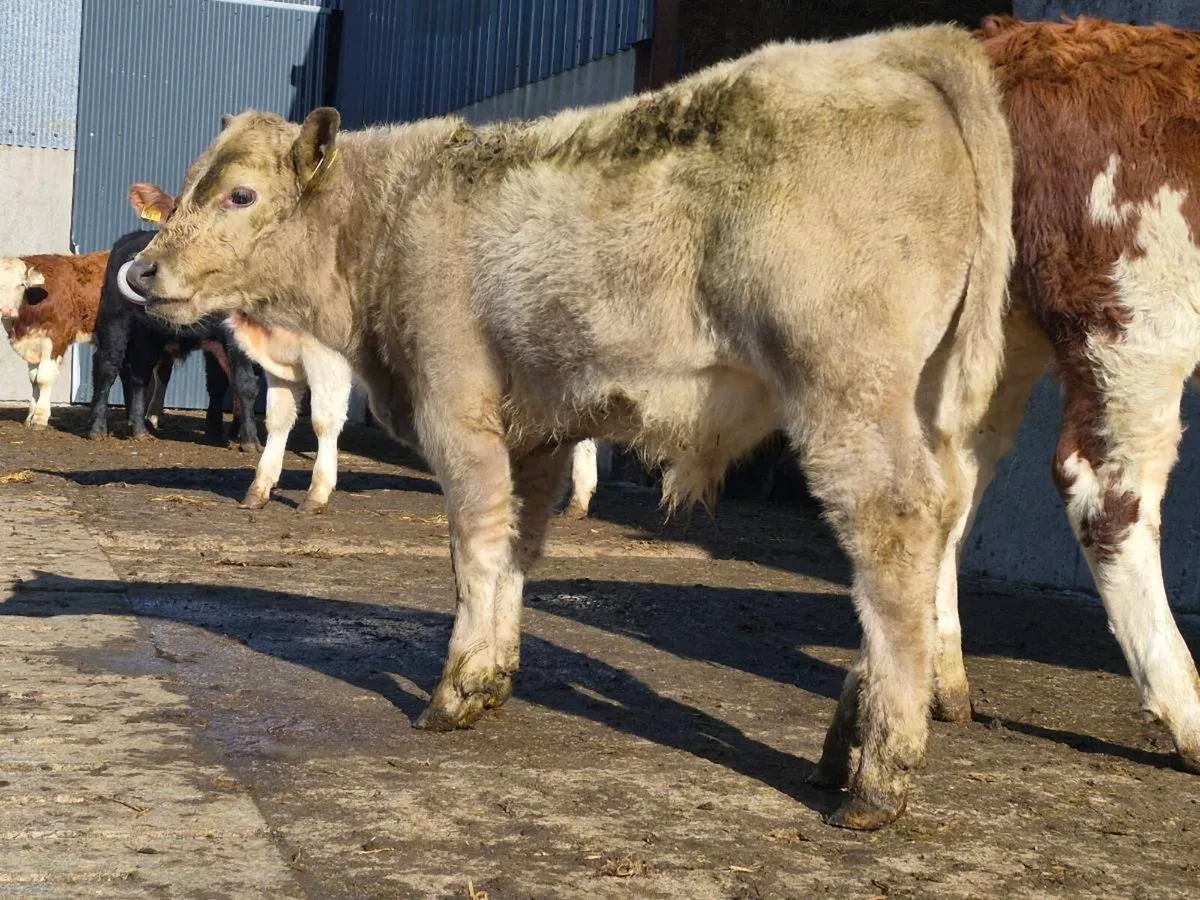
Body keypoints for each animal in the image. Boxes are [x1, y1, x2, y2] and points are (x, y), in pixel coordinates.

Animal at [0, 251, 108, 428]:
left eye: (21, 285)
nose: (5, 310)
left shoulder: (56, 338)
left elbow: (43, 378)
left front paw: (40, 418)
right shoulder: (33, 342)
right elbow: (33, 379)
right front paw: (30, 416)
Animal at [123, 25, 1015, 829]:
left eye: (240, 194)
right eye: (188, 185)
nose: (140, 270)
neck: (394, 216)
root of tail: (903, 45)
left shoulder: (458, 409)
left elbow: (475, 549)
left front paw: (456, 688)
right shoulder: (537, 434)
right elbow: (518, 547)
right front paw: (496, 678)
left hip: (845, 387)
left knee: (892, 529)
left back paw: (879, 777)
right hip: (923, 401)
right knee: (937, 521)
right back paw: (847, 743)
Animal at [923, 17, 1200, 779]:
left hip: (997, 323)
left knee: (953, 464)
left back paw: (941, 681)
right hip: (1138, 318)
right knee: (1106, 491)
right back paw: (1190, 717)